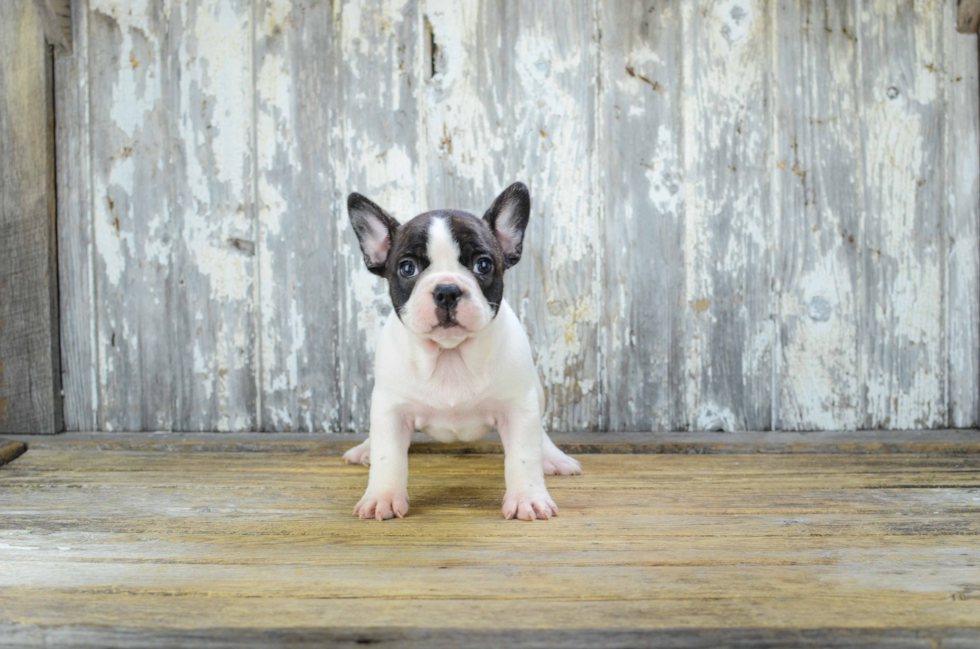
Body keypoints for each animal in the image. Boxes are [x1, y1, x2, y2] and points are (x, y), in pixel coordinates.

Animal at [342, 182, 580, 520]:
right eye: (407, 268)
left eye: (483, 265)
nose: (447, 290)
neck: (450, 355)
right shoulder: (390, 409)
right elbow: (389, 457)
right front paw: (383, 497)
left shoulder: (519, 407)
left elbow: (523, 456)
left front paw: (527, 498)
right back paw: (366, 448)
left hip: (536, 390)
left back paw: (552, 457)